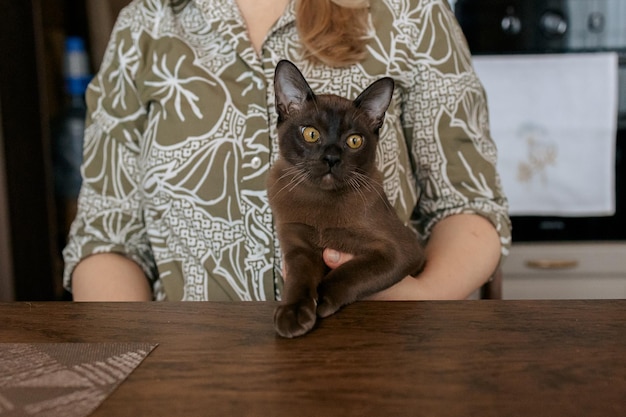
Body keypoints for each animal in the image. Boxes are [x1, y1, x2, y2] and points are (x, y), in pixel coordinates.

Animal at [268, 60, 424, 336]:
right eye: (311, 134)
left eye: (354, 140)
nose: (331, 158)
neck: (320, 202)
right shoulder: (299, 248)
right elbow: (298, 280)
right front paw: (293, 314)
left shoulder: (399, 251)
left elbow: (350, 272)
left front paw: (320, 300)